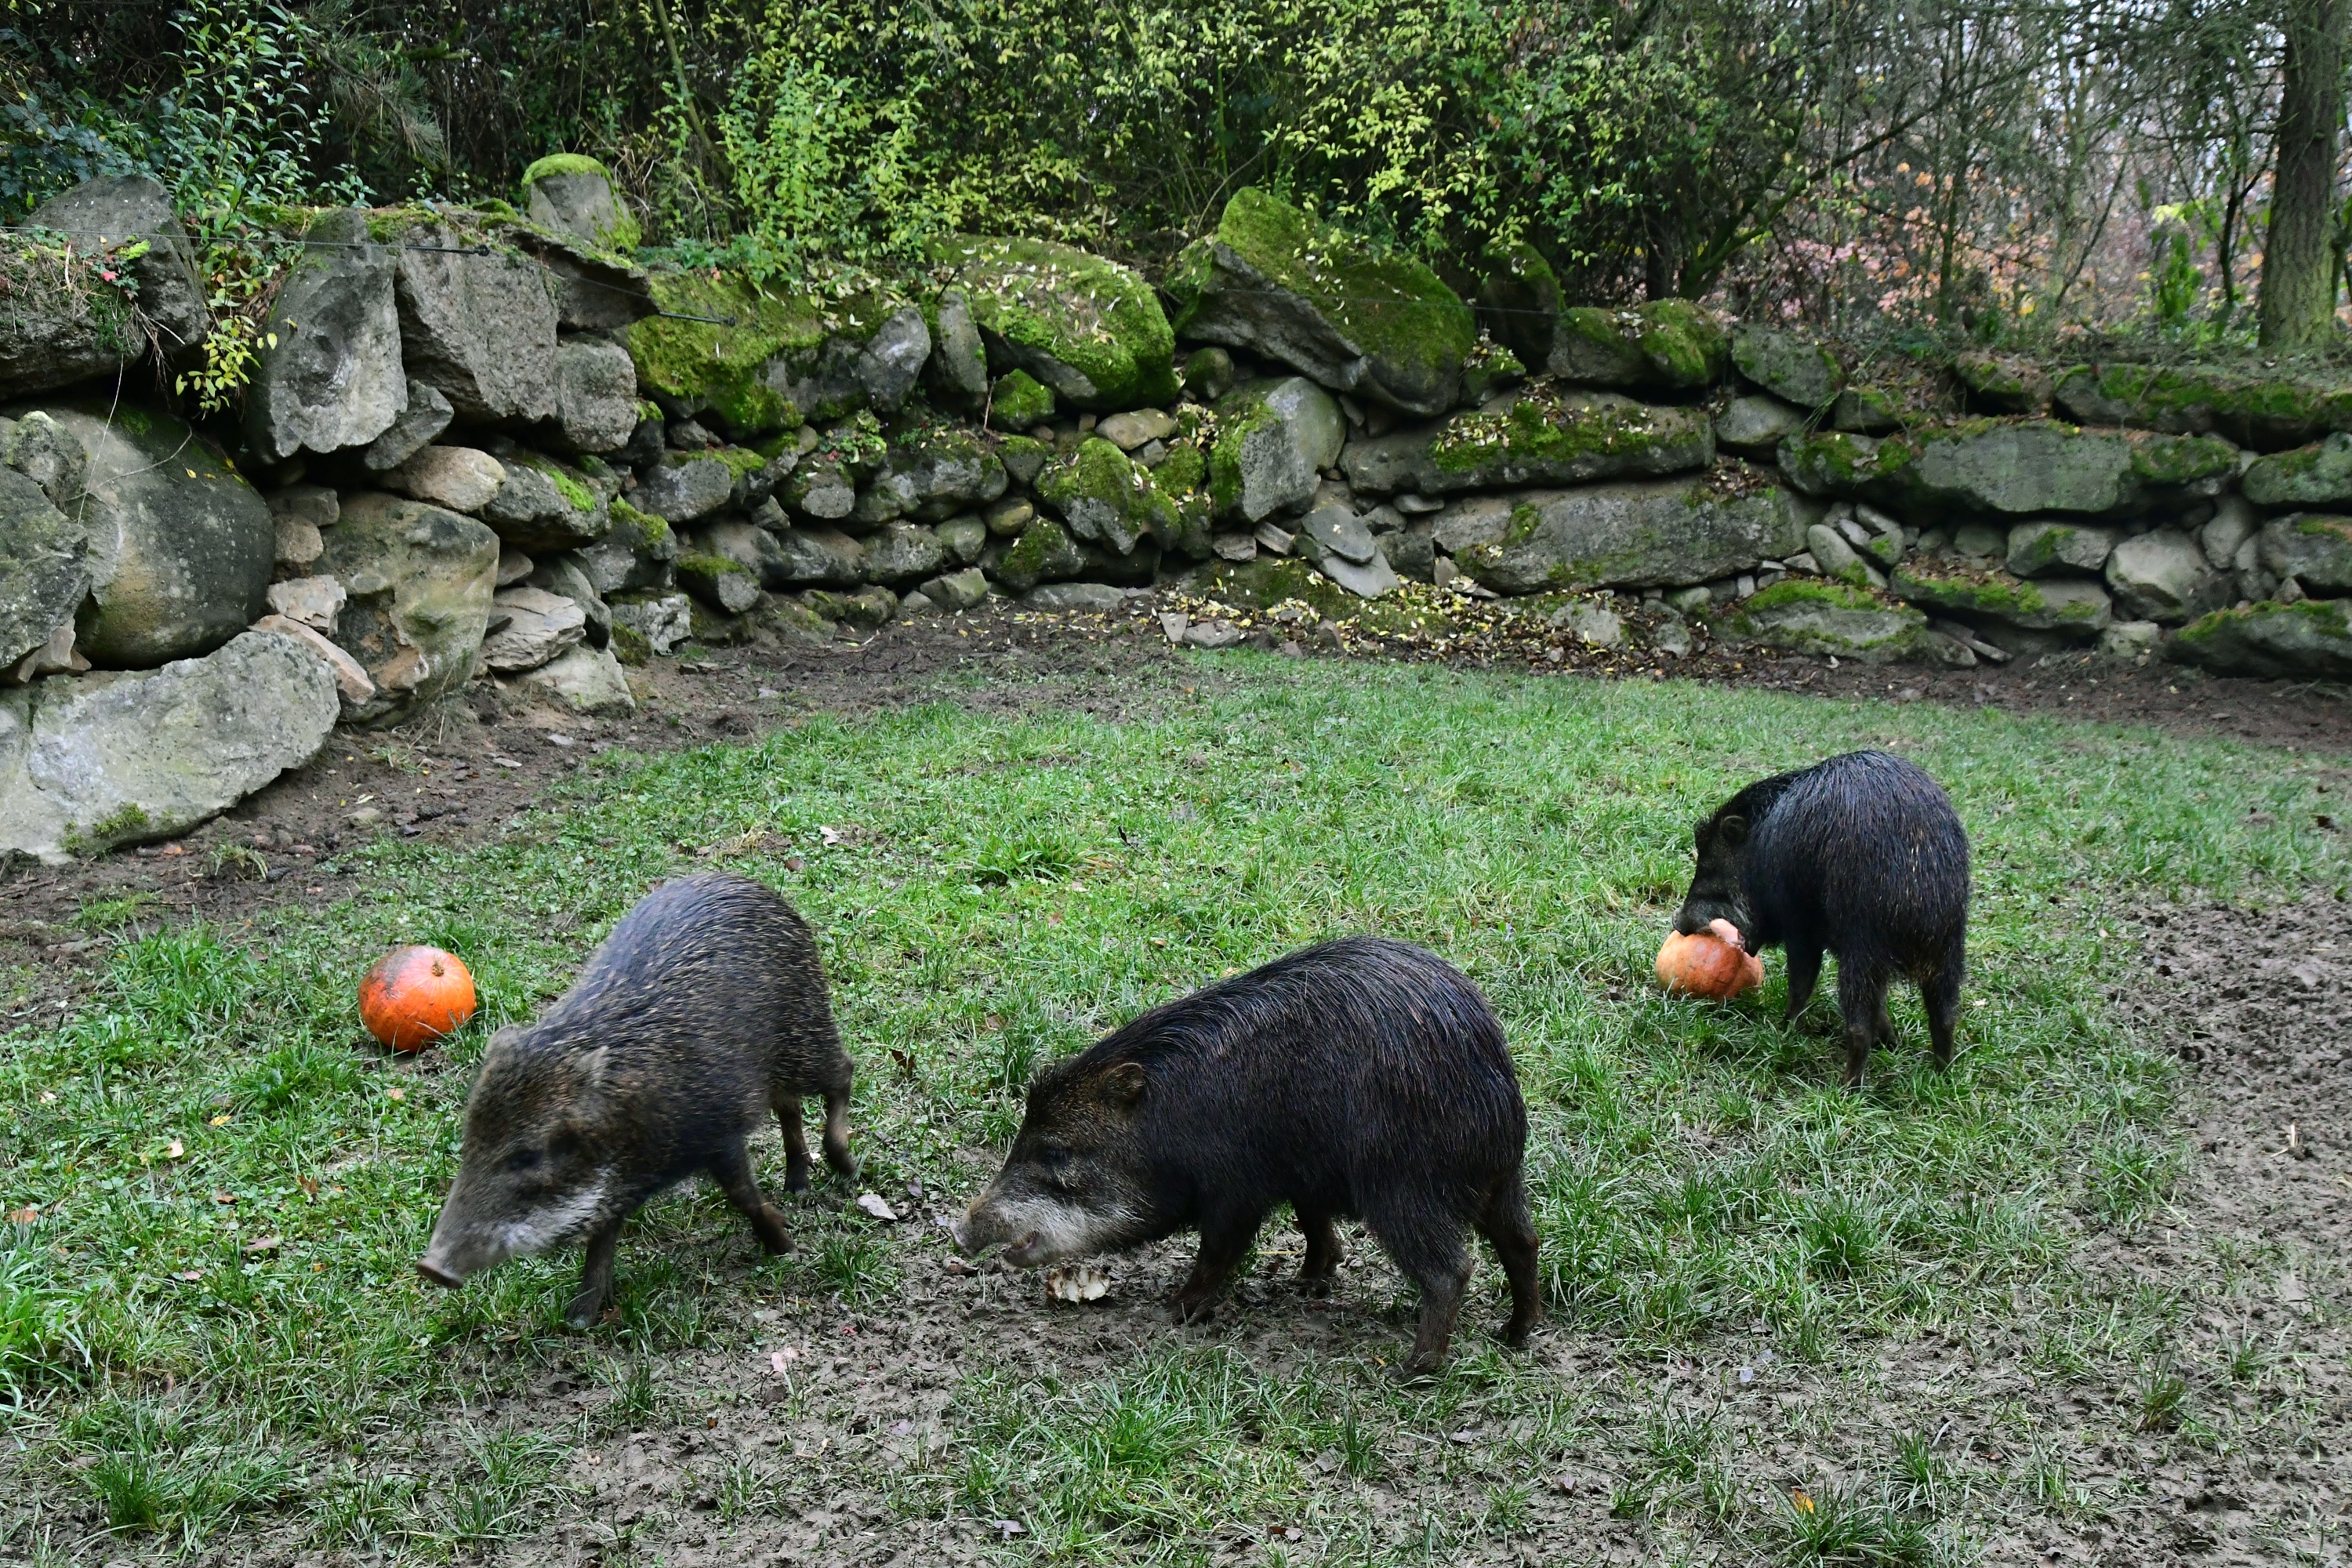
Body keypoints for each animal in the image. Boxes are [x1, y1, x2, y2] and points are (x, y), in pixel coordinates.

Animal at [417, 872, 855, 1327]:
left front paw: (787, 1249)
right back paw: (798, 1187)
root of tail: (761, 889)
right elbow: (601, 1238)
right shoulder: (618, 1184)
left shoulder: (720, 1133)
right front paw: (580, 1318)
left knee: (843, 1074)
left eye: (528, 1155)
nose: (430, 1268)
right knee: (790, 1106)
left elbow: (743, 1196)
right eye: (468, 1142)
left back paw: (846, 1168)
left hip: (807, 1035)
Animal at [950, 937, 1540, 1377]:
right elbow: (1313, 1226)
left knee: (1453, 1270)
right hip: (1501, 1184)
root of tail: (1493, 1085)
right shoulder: (1301, 1178)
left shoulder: (1235, 1190)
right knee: (1523, 1243)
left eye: (1054, 1150)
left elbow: (1220, 1251)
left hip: (1404, 1188)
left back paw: (1414, 1371)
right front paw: (1309, 1283)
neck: (1163, 1126)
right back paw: (1513, 1336)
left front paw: (1175, 1310)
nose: (958, 1232)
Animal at [1674, 749, 1969, 1085]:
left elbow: (1801, 983)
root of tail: (1921, 902)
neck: (1761, 847)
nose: (1677, 922)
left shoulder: (1800, 927)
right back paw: (1942, 1076)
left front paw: (1786, 1029)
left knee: (1859, 1026)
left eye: (1710, 867)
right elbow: (1881, 1005)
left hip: (1864, 951)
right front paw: (1891, 1042)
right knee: (1945, 1017)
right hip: (1949, 953)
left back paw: (1847, 1086)